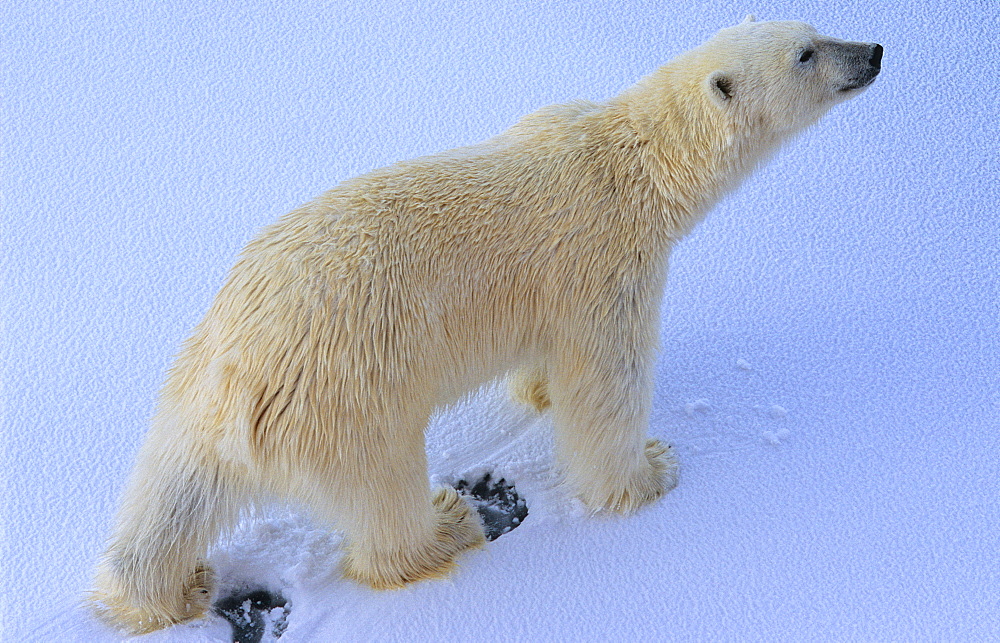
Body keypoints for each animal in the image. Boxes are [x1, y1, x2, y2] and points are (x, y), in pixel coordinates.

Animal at [90, 17, 880, 636]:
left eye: (815, 27)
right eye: (806, 54)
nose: (873, 50)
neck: (637, 167)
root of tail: (236, 382)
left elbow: (550, 359)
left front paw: (542, 395)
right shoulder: (608, 266)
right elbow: (606, 386)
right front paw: (649, 471)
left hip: (197, 370)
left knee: (168, 493)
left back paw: (164, 589)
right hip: (349, 396)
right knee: (384, 492)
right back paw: (447, 524)